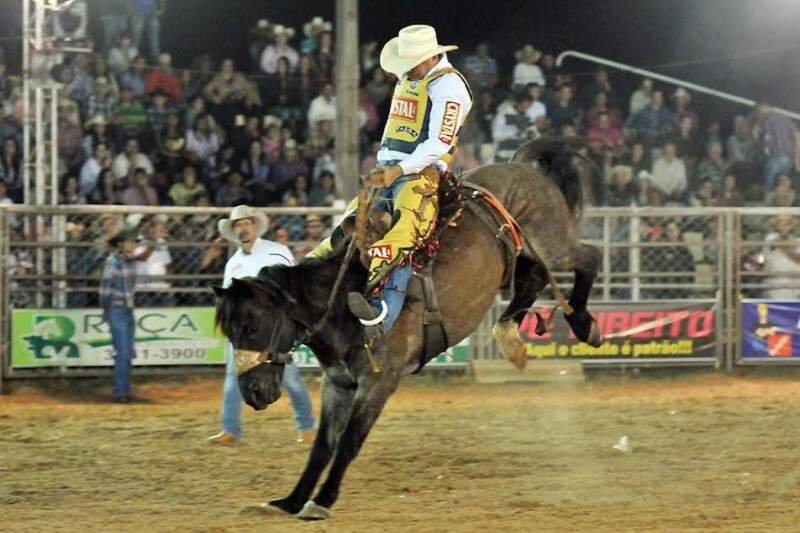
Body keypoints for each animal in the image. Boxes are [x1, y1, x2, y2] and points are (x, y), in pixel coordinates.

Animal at [212, 137, 600, 520]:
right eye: (229, 332)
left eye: (252, 325)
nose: (253, 394)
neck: (342, 304)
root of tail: (524, 167)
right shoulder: (337, 384)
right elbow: (323, 445)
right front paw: (291, 500)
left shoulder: (379, 382)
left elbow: (350, 441)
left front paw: (321, 501)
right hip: (520, 259)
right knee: (533, 280)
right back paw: (509, 338)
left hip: (552, 244)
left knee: (588, 256)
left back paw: (585, 325)